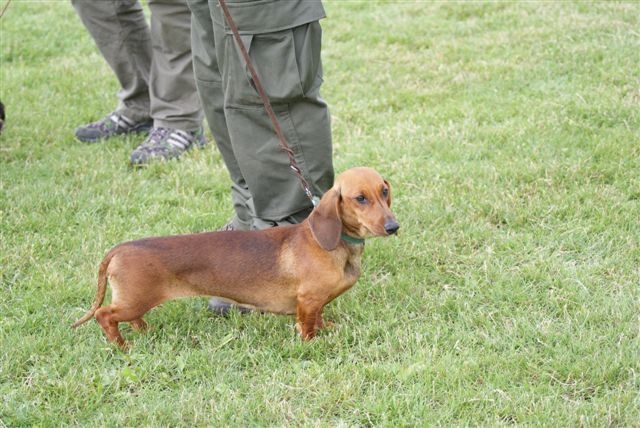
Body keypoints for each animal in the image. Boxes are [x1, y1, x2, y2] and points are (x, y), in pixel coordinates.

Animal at [72, 167, 398, 348]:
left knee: (129, 317)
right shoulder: (308, 299)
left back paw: (144, 332)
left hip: (134, 300)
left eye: (384, 191)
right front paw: (311, 343)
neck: (334, 244)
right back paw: (122, 346)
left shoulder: (314, 302)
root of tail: (120, 248)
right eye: (360, 198)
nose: (393, 227)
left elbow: (318, 317)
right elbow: (306, 325)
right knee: (105, 315)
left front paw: (326, 328)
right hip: (134, 300)